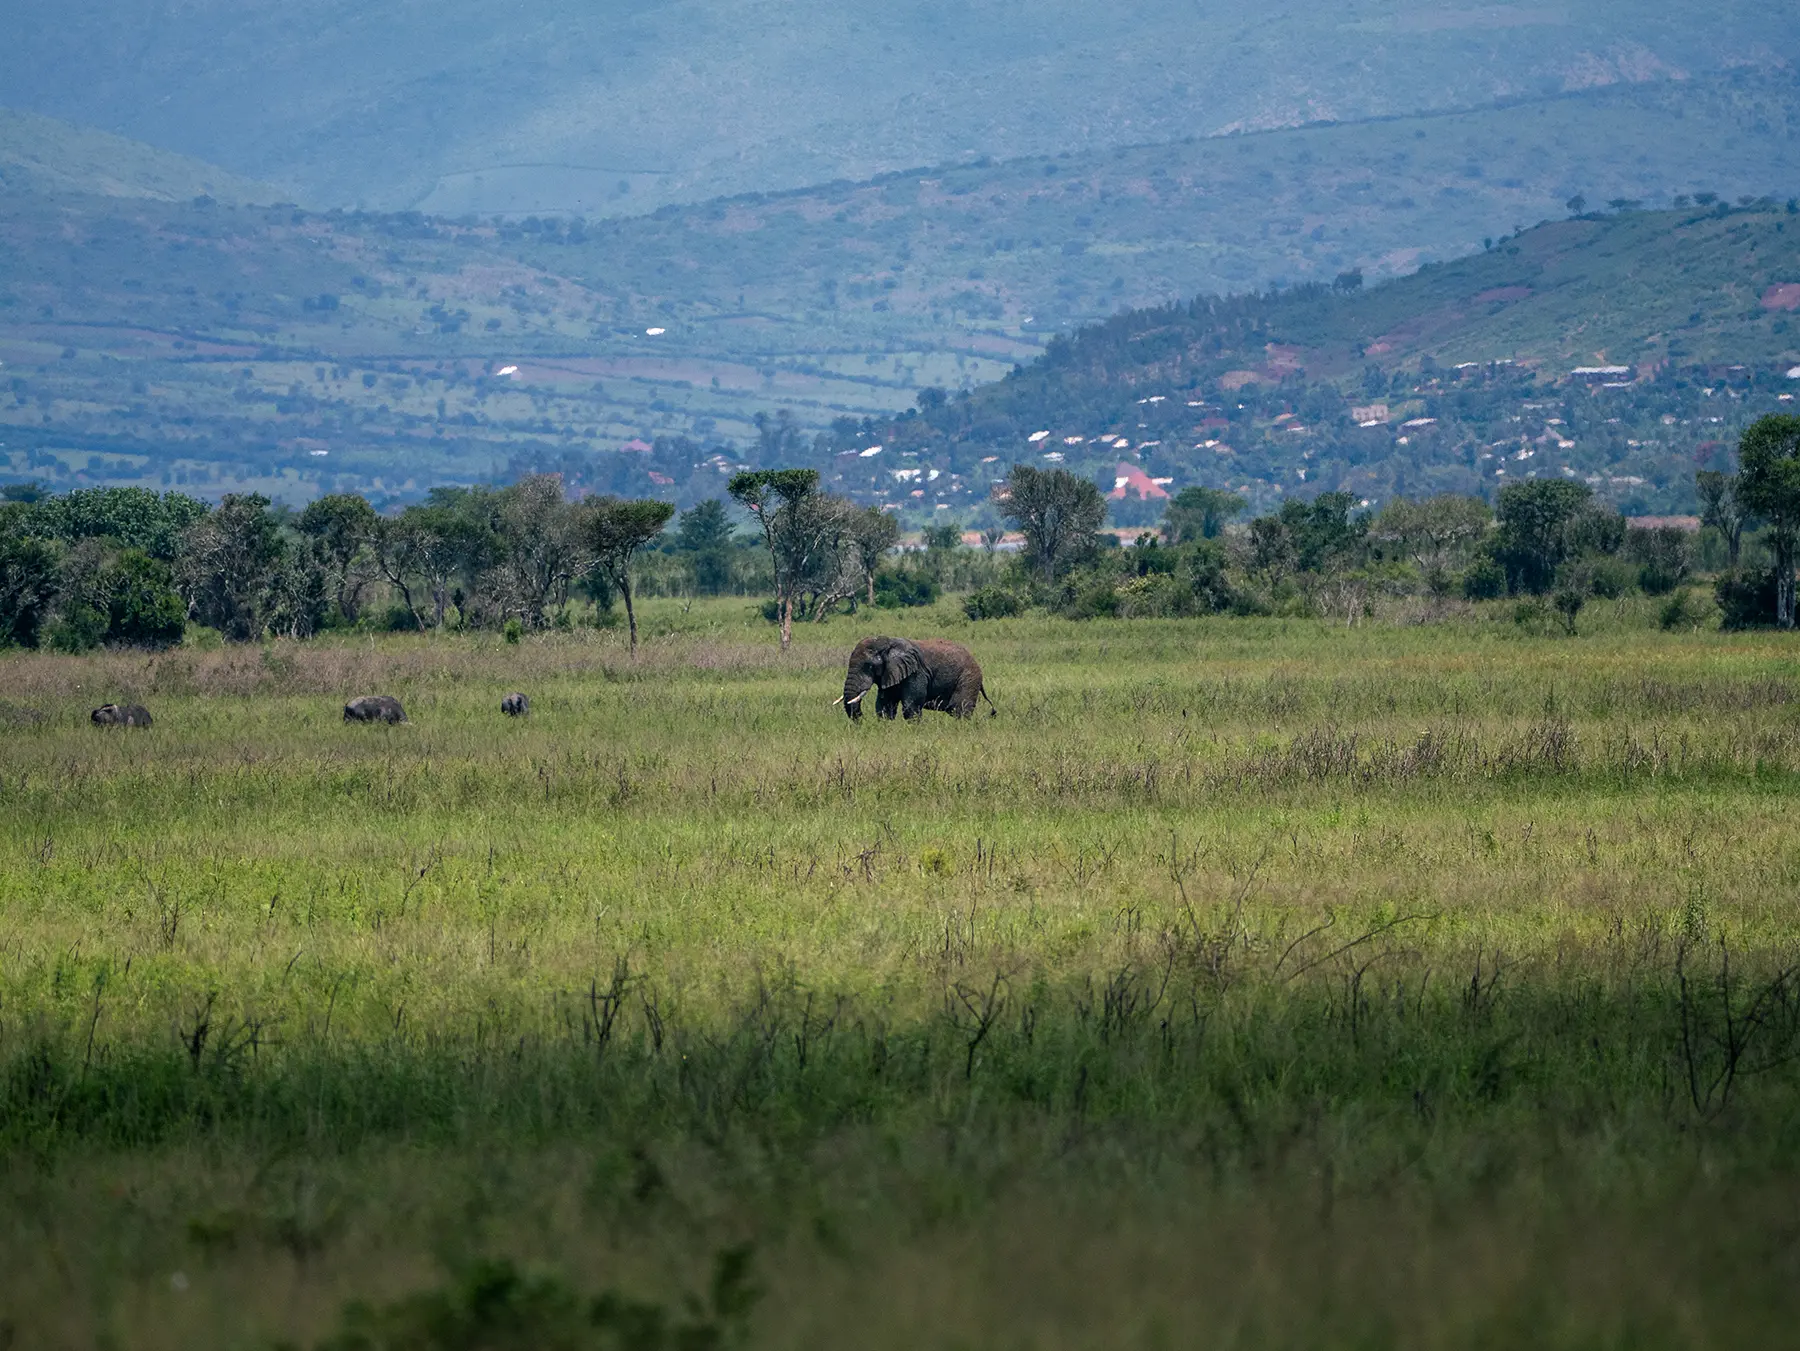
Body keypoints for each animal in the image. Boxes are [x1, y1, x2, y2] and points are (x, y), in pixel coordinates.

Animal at [837, 636, 994, 721]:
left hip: (968, 678)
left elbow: (910, 707)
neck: (888, 642)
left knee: (959, 709)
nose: (863, 722)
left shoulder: (916, 672)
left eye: (869, 666)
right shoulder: (890, 673)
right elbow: (885, 705)